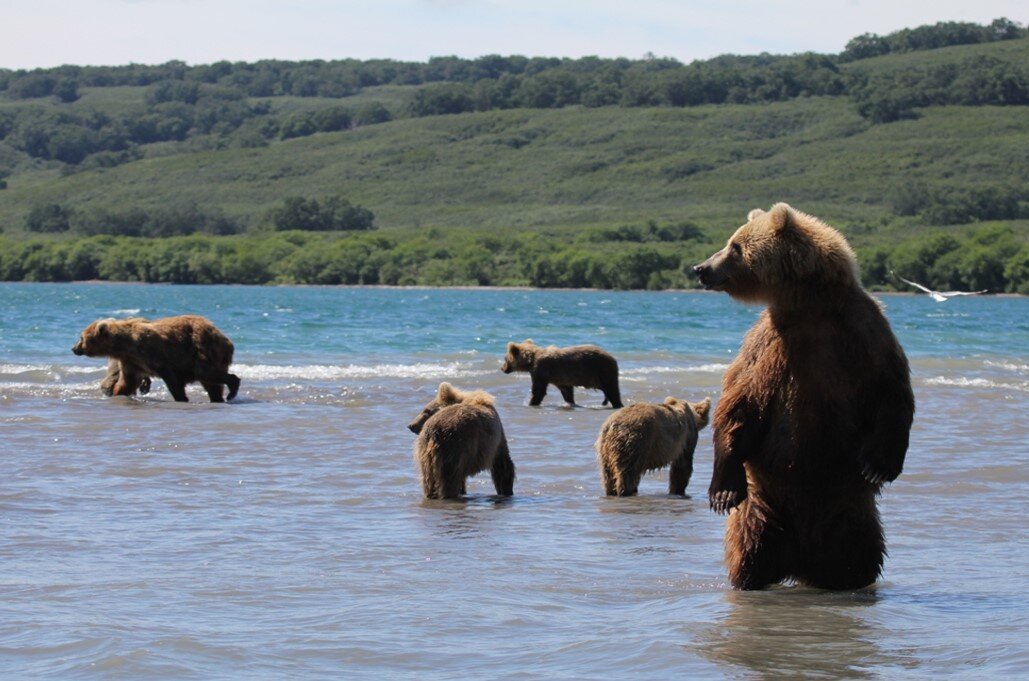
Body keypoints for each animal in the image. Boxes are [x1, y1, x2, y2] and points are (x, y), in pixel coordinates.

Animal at [72, 316, 240, 405]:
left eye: (81, 338)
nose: (74, 348)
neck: (124, 344)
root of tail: (227, 340)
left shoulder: (152, 352)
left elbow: (171, 378)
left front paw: (181, 397)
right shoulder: (131, 361)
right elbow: (127, 381)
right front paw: (117, 393)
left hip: (201, 350)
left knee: (206, 373)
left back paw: (232, 390)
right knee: (211, 383)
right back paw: (218, 398)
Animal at [695, 203, 913, 592]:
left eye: (734, 246)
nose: (701, 268)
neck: (810, 305)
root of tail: (800, 565)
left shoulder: (863, 332)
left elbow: (891, 390)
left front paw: (877, 464)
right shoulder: (768, 344)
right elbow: (739, 402)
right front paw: (722, 492)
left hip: (848, 511)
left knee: (859, 554)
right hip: (764, 507)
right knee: (749, 548)